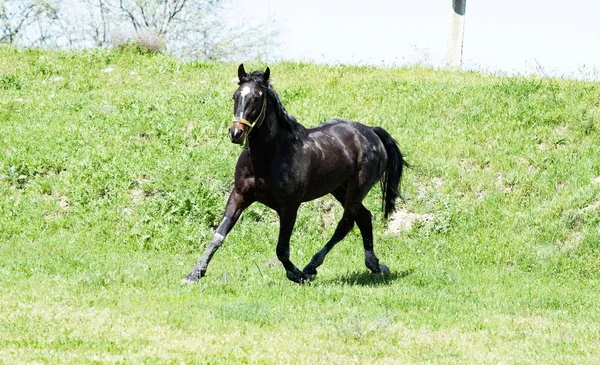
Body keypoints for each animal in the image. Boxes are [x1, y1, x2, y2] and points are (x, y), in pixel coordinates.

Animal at [183, 64, 408, 282]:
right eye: (235, 95)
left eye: (257, 97)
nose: (236, 133)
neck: (267, 158)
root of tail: (371, 131)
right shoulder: (239, 196)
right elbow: (218, 235)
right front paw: (194, 274)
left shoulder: (289, 206)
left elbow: (282, 249)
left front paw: (297, 275)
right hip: (339, 189)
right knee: (364, 217)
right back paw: (375, 265)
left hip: (357, 189)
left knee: (346, 224)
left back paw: (312, 267)